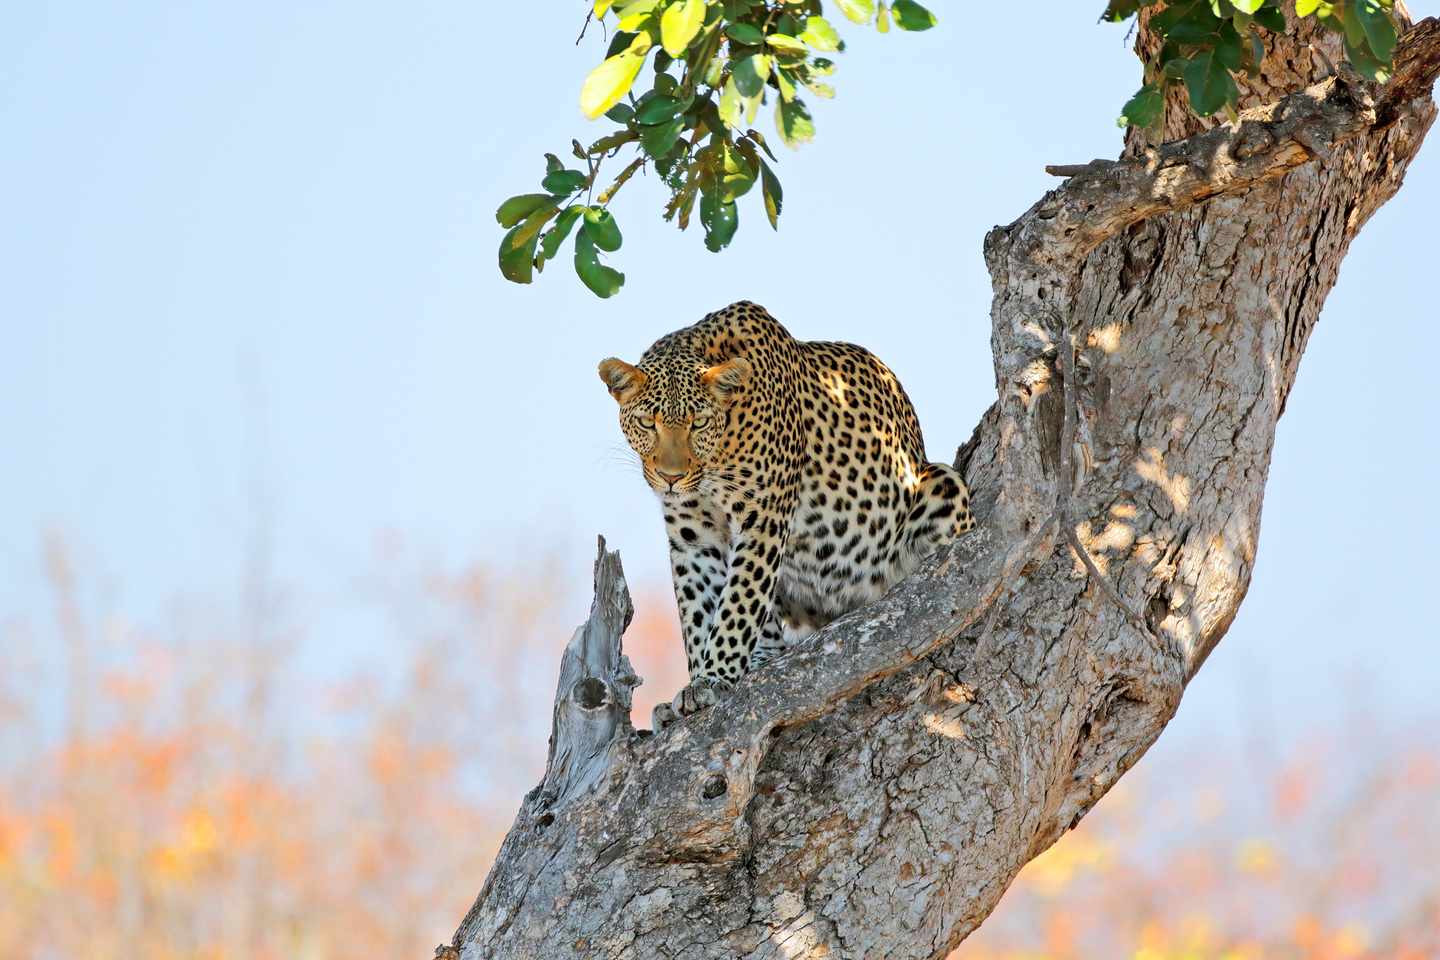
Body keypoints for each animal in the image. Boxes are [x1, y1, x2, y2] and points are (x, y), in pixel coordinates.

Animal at [599, 301, 975, 721]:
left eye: (699, 423)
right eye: (647, 423)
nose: (670, 477)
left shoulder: (763, 518)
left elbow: (738, 604)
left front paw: (714, 677)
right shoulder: (693, 535)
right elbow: (697, 609)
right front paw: (697, 682)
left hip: (940, 483)